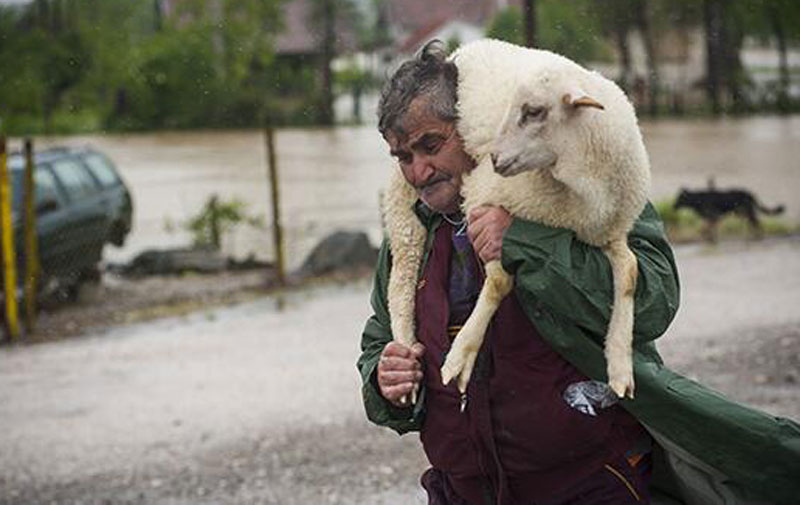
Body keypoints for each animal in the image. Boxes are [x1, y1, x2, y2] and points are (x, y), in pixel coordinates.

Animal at [384, 38, 652, 402]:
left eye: (534, 111)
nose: (495, 158)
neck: (586, 187)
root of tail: (462, 50)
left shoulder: (604, 230)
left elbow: (630, 271)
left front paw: (620, 364)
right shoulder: (482, 193)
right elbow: (499, 283)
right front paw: (461, 356)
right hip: (405, 197)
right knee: (400, 280)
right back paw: (405, 356)